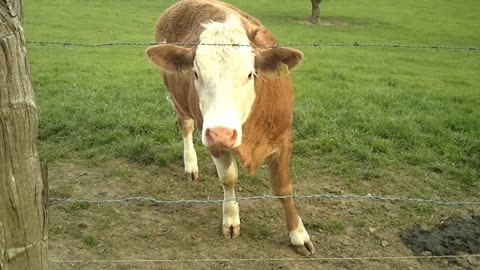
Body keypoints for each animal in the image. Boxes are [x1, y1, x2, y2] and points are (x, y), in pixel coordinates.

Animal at [144, 0, 314, 255]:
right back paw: (191, 165)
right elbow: (228, 178)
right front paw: (231, 219)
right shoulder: (210, 136)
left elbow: (283, 188)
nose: (221, 134)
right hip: (178, 101)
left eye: (250, 74)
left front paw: (298, 235)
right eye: (196, 73)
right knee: (185, 127)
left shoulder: (283, 137)